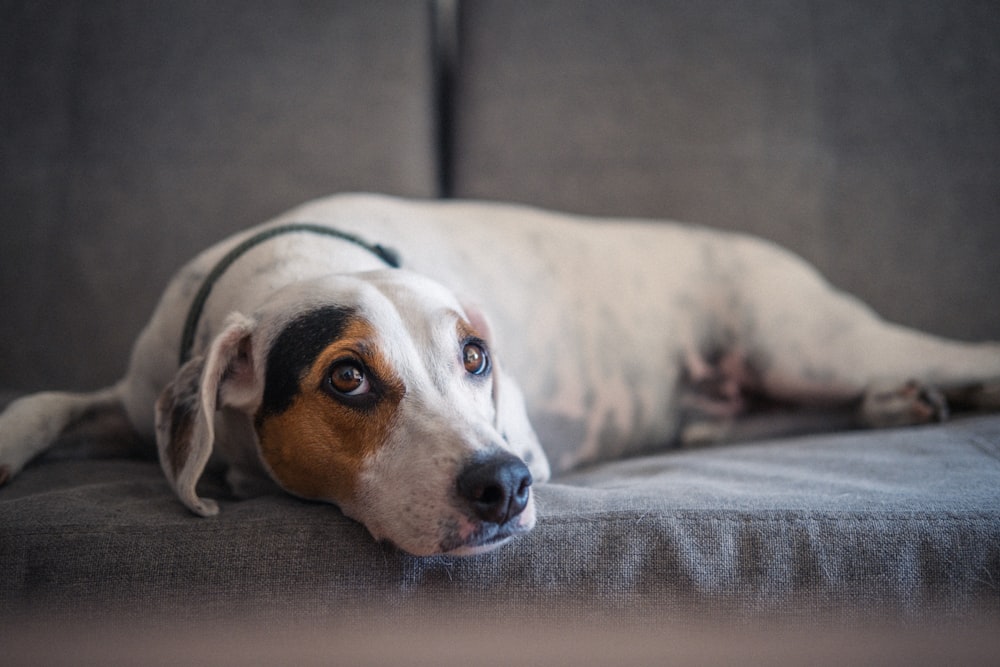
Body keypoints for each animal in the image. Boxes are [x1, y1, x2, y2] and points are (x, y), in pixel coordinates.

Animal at [1, 194, 1000, 560]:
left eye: (474, 356)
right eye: (347, 378)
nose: (506, 483)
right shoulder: (132, 395)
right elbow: (45, 399)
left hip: (813, 343)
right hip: (756, 396)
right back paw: (897, 404)